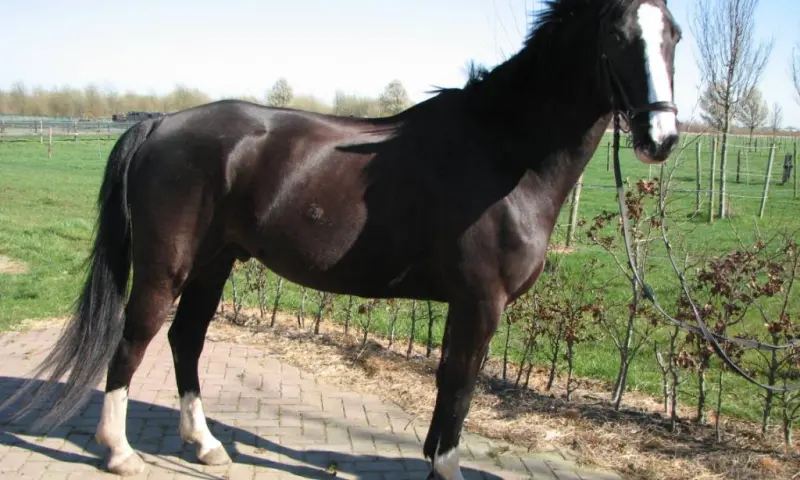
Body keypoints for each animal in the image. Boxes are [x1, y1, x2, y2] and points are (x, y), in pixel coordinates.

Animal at [0, 0, 681, 478]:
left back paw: (207, 446)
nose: (662, 137)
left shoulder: (468, 306)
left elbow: (447, 386)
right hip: (166, 266)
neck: (500, 152)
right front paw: (445, 468)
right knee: (133, 341)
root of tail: (161, 123)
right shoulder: (480, 304)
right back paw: (119, 453)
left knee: (185, 339)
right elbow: (459, 388)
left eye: (673, 35)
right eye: (619, 36)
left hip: (215, 262)